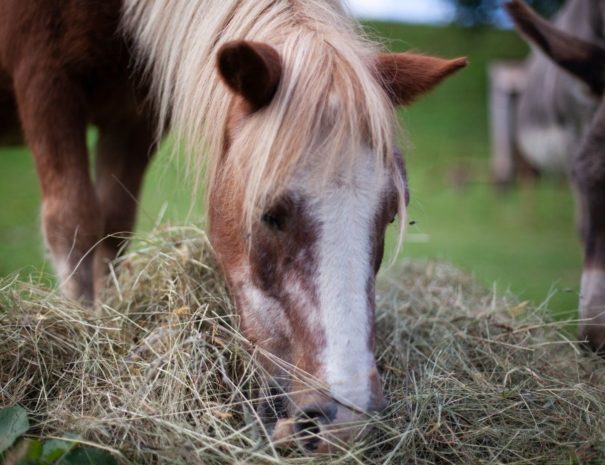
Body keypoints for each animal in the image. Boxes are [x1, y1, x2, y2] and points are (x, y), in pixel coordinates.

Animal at [0, 0, 468, 450]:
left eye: (389, 214)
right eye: (270, 215)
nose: (345, 421)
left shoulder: (135, 116)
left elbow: (113, 226)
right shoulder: (47, 85)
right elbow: (73, 222)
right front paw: (87, 330)